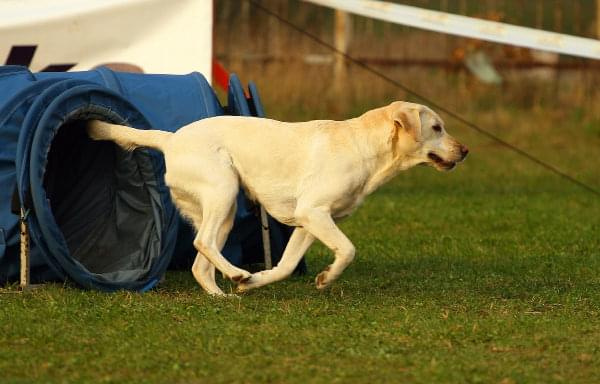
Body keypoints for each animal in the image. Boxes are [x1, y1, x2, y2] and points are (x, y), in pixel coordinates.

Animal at [86, 101, 468, 294]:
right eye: (437, 128)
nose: (465, 151)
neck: (365, 148)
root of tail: (172, 138)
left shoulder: (308, 223)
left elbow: (284, 268)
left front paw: (256, 283)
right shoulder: (314, 213)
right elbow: (347, 250)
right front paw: (326, 278)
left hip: (224, 212)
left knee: (200, 265)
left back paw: (225, 292)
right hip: (224, 191)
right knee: (201, 244)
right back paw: (236, 274)